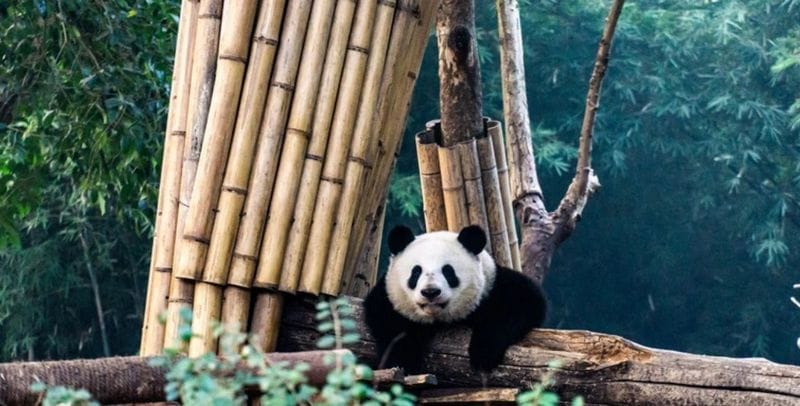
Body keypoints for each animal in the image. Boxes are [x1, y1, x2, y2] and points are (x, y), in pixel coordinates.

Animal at [364, 224, 547, 373]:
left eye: (448, 271)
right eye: (416, 272)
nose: (430, 292)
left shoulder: (492, 287)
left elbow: (521, 302)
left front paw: (483, 353)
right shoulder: (390, 297)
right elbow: (390, 324)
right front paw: (403, 361)